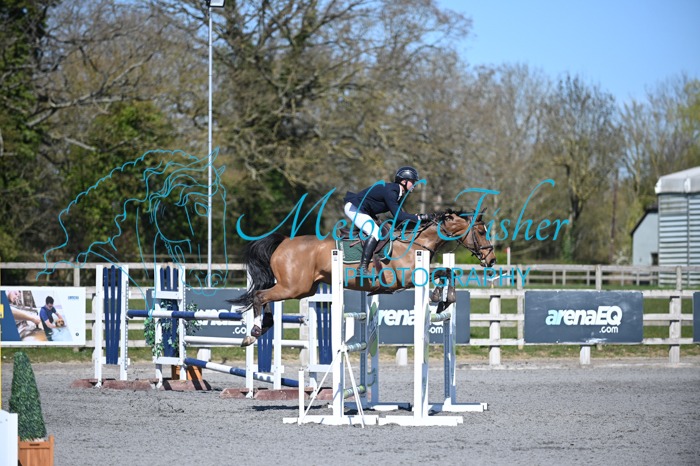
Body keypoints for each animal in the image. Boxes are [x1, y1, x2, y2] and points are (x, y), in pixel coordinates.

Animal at [232, 209, 497, 346]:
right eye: (481, 232)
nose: (492, 259)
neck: (415, 242)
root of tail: (284, 242)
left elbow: (447, 272)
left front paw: (443, 299)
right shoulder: (407, 278)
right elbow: (442, 274)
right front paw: (439, 297)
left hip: (304, 289)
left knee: (264, 298)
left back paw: (263, 327)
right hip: (293, 287)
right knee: (259, 296)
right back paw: (253, 332)